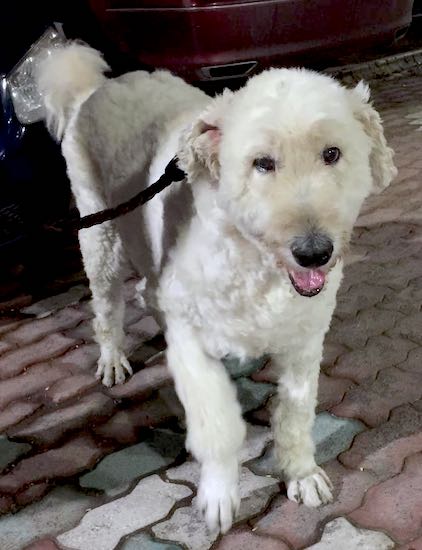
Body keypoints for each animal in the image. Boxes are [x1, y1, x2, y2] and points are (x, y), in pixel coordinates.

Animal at [37, 45, 396, 536]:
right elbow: (219, 423)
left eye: (332, 153)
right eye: (262, 163)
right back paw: (112, 357)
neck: (256, 265)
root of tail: (97, 87)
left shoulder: (304, 342)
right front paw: (219, 494)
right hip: (99, 234)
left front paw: (301, 473)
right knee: (107, 306)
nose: (313, 252)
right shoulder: (192, 345)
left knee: (147, 291)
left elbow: (297, 414)